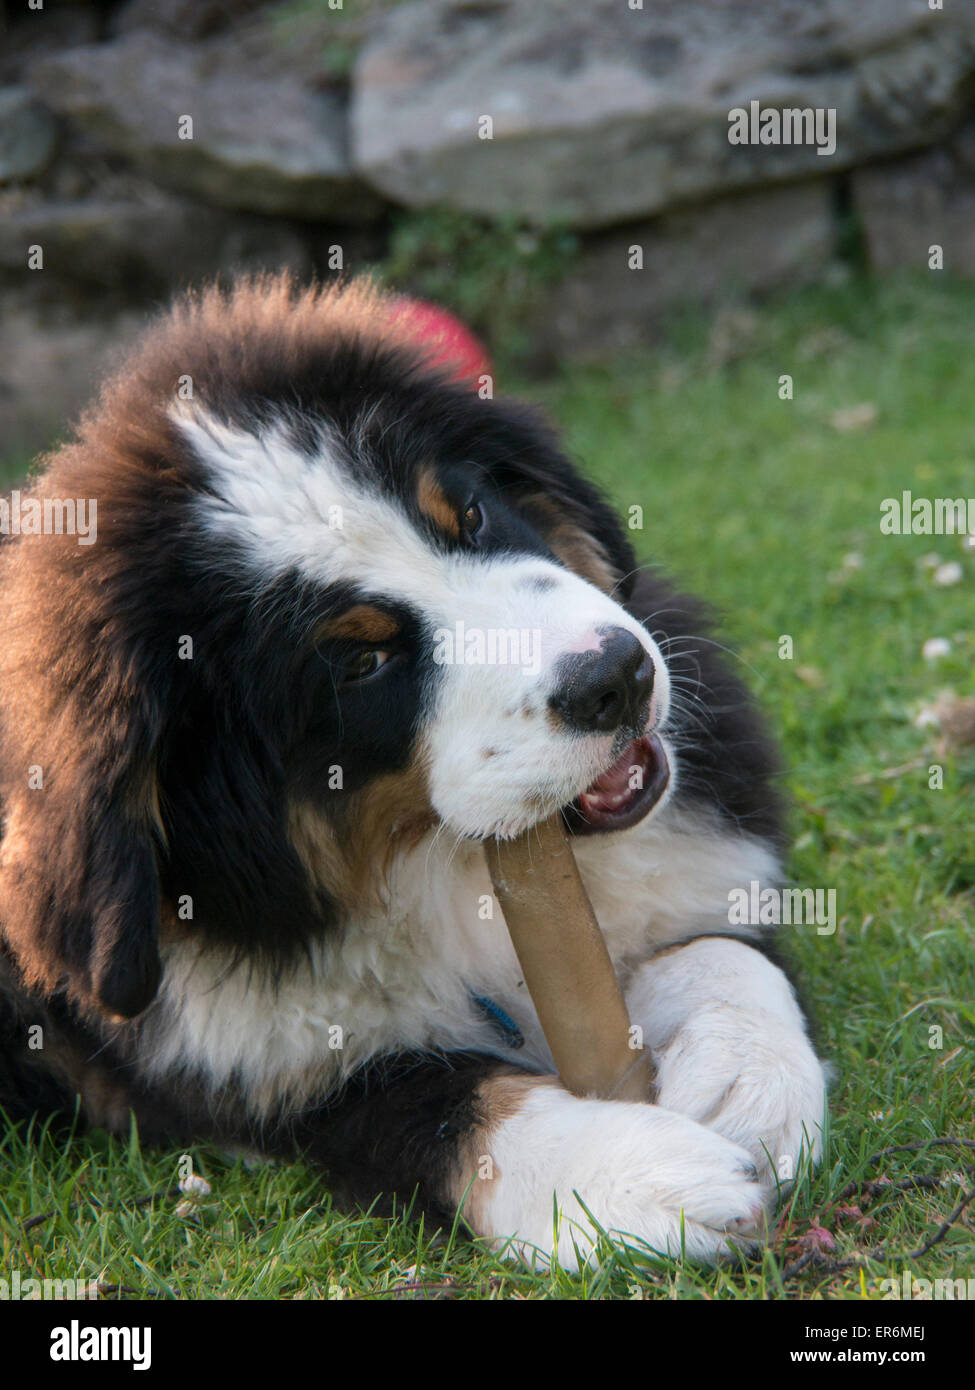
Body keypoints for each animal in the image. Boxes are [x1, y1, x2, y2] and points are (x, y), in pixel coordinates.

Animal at [0, 273, 823, 1273]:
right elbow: (432, 1106)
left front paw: (746, 1082)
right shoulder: (247, 1073)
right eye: (361, 662)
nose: (616, 677)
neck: (441, 872)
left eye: (468, 517)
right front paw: (636, 1177)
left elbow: (713, 945)